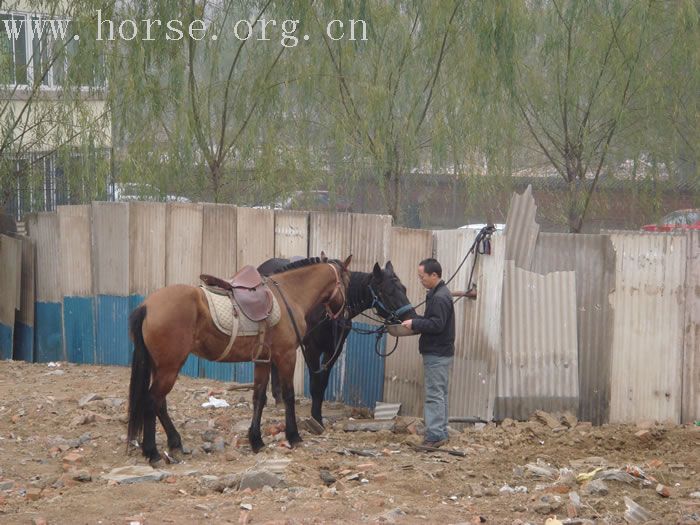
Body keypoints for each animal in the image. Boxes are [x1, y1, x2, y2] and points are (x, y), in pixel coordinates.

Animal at [127, 255, 350, 462]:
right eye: (347, 282)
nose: (345, 315)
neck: (289, 294)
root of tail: (147, 305)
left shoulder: (263, 359)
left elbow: (259, 397)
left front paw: (256, 440)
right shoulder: (286, 356)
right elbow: (288, 395)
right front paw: (294, 436)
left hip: (161, 367)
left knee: (160, 404)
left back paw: (175, 443)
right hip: (169, 368)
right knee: (151, 401)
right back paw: (153, 452)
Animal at [258, 258, 416, 426]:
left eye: (404, 289)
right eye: (387, 292)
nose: (411, 318)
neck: (328, 310)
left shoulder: (334, 350)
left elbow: (322, 385)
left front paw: (318, 417)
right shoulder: (312, 349)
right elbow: (315, 385)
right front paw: (315, 419)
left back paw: (279, 399)